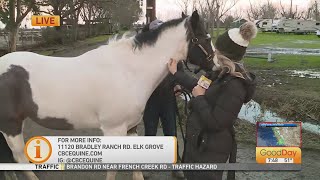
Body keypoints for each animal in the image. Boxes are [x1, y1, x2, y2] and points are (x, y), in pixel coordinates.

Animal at [0, 10, 215, 180]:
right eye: (206, 38)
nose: (216, 68)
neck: (127, 71)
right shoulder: (114, 130)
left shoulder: (131, 127)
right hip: (10, 126)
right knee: (20, 158)